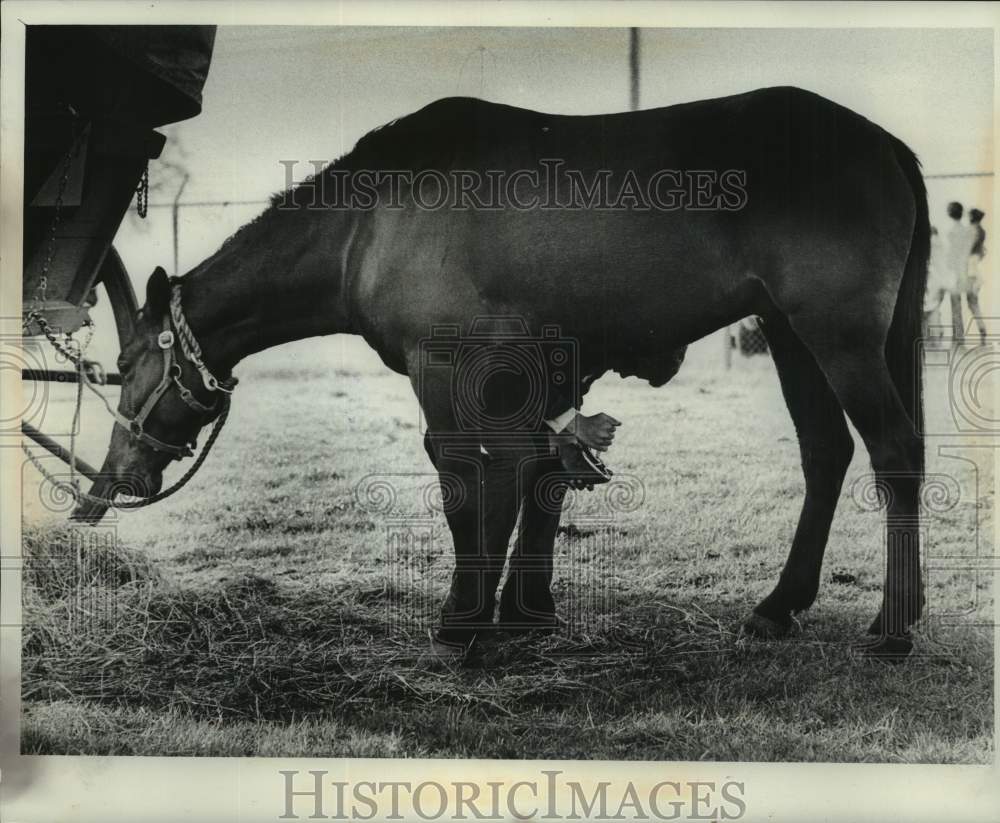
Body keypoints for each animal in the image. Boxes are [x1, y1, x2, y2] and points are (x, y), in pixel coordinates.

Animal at [76, 87, 928, 660]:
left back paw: (892, 625)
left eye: (123, 364)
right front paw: (524, 607)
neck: (364, 224)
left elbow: (467, 481)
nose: (109, 480)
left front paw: (466, 615)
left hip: (836, 333)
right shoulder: (544, 374)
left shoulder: (444, 368)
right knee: (827, 451)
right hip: (789, 331)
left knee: (895, 451)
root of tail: (886, 143)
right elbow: (540, 477)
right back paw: (782, 604)